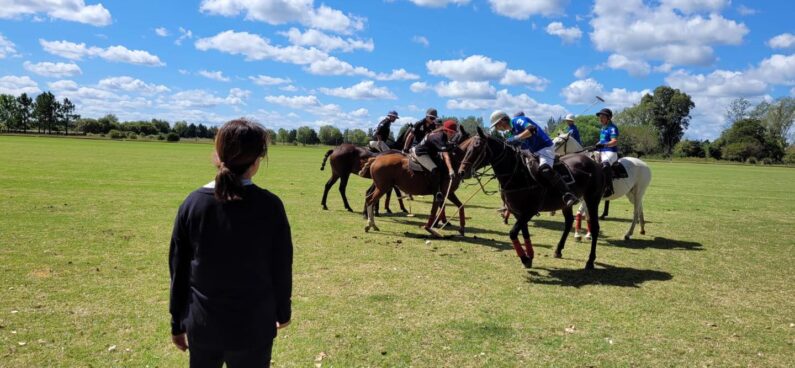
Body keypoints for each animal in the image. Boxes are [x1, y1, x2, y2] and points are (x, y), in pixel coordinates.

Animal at [458, 129, 608, 270]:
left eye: (477, 147)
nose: (461, 172)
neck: (517, 174)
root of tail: (595, 163)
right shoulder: (518, 212)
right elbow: (524, 233)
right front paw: (529, 256)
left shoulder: (529, 211)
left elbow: (513, 233)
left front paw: (524, 258)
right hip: (565, 204)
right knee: (568, 222)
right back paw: (558, 250)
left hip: (592, 199)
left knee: (595, 226)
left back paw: (590, 261)